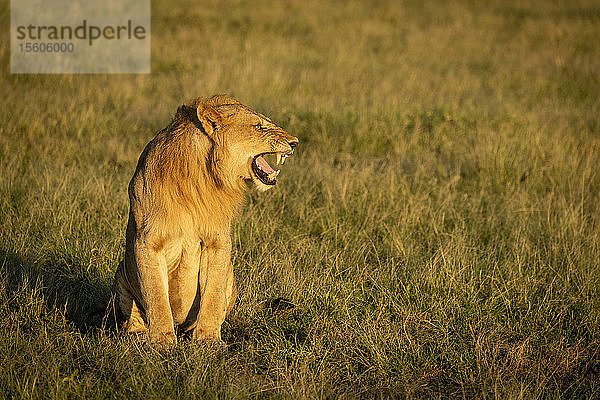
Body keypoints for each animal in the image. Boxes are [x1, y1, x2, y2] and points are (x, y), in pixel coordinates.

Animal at [107, 94, 298, 346]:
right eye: (258, 127)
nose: (295, 143)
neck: (200, 177)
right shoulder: (147, 241)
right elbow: (156, 297)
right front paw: (161, 342)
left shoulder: (217, 242)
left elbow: (213, 296)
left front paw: (208, 340)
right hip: (121, 275)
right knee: (134, 316)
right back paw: (136, 336)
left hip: (231, 274)